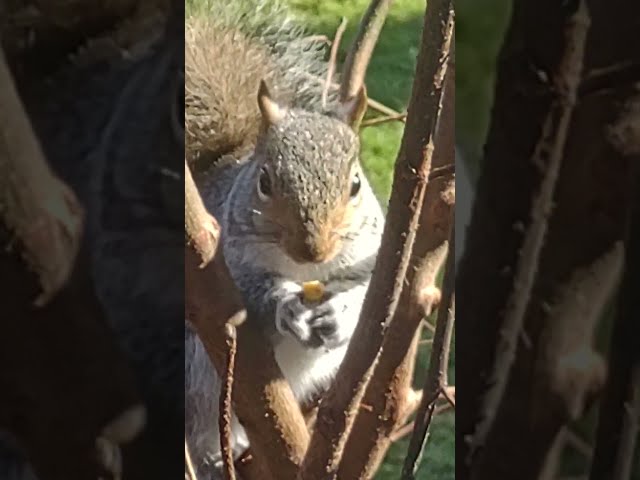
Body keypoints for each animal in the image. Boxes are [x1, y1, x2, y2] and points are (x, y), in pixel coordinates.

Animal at [184, 0, 385, 475]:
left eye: (355, 184)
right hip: (195, 375)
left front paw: (342, 312)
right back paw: (213, 458)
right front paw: (287, 305)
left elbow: (368, 297)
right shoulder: (221, 261)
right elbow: (251, 293)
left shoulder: (374, 253)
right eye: (264, 182)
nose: (314, 250)